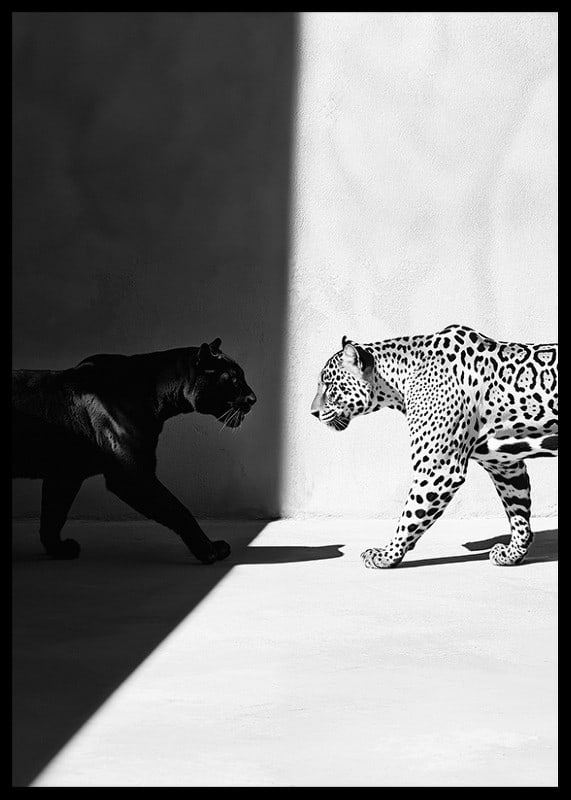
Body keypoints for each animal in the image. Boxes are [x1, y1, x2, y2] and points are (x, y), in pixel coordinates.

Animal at [12, 338, 256, 564]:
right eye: (234, 379)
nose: (254, 399)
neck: (156, 392)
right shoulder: (131, 474)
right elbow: (177, 509)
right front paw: (209, 550)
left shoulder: (65, 474)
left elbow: (53, 516)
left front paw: (59, 549)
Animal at [311, 324, 558, 568]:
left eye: (329, 385)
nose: (312, 413)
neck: (398, 380)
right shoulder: (503, 464)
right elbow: (517, 510)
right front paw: (513, 553)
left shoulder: (438, 469)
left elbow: (411, 514)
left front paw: (387, 555)